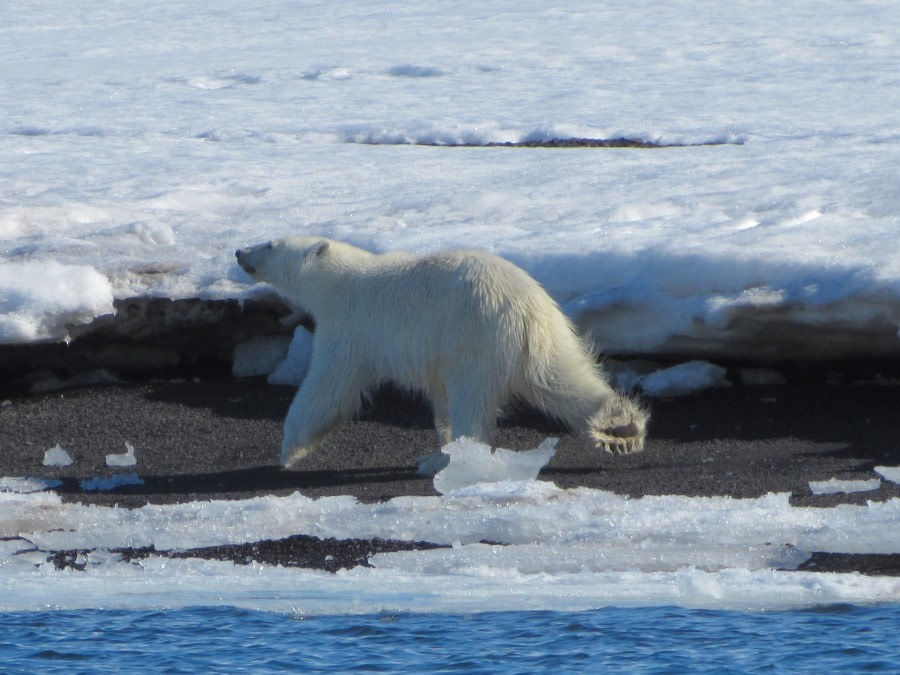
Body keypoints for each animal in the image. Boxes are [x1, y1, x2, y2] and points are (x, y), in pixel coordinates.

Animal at [236, 239, 648, 470]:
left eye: (270, 244)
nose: (239, 251)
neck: (341, 281)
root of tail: (527, 308)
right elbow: (440, 398)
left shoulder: (351, 327)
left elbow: (328, 389)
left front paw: (288, 450)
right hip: (544, 338)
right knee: (561, 379)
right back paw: (620, 427)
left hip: (476, 335)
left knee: (473, 397)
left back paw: (454, 459)